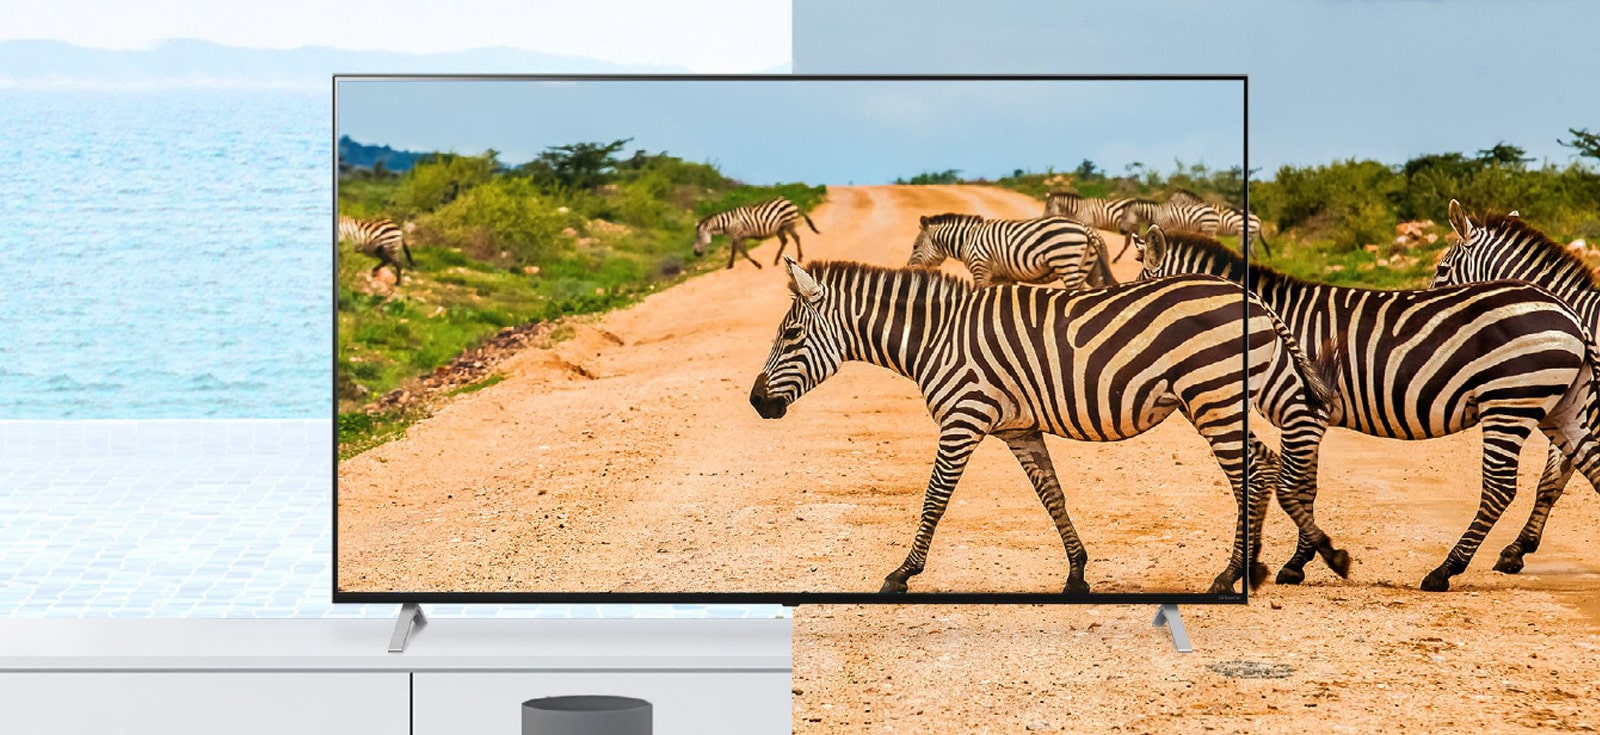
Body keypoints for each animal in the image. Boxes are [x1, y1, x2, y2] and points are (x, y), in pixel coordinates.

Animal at [749, 256, 1337, 595]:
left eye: (792, 334)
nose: (756, 402)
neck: (937, 337)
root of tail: (1250, 296)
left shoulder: (963, 417)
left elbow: (934, 498)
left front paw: (901, 574)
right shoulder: (1018, 428)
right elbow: (1051, 495)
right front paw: (1077, 573)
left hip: (1212, 395)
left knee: (1252, 471)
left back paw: (1234, 574)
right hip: (1219, 397)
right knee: (1265, 464)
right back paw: (1267, 564)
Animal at [906, 213, 1115, 289]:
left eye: (915, 246)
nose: (909, 268)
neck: (966, 240)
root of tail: (1084, 228)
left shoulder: (980, 268)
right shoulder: (1003, 276)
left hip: (1065, 261)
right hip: (1090, 267)